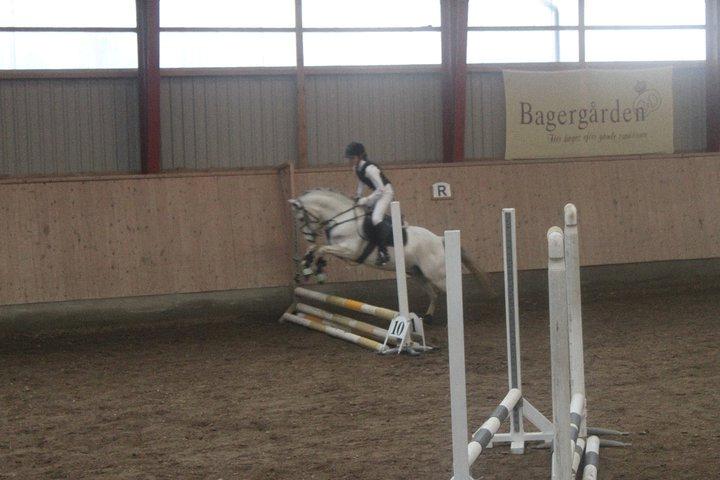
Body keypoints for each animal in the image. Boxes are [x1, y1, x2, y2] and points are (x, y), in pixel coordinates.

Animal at [289, 189, 494, 323]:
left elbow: (321, 249)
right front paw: (308, 267)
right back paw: (427, 317)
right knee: (434, 294)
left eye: (300, 218)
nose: (308, 236)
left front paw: (313, 270)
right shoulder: (340, 250)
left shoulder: (350, 251)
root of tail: (438, 239)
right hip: (416, 274)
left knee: (449, 291)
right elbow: (316, 249)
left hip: (435, 274)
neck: (342, 218)